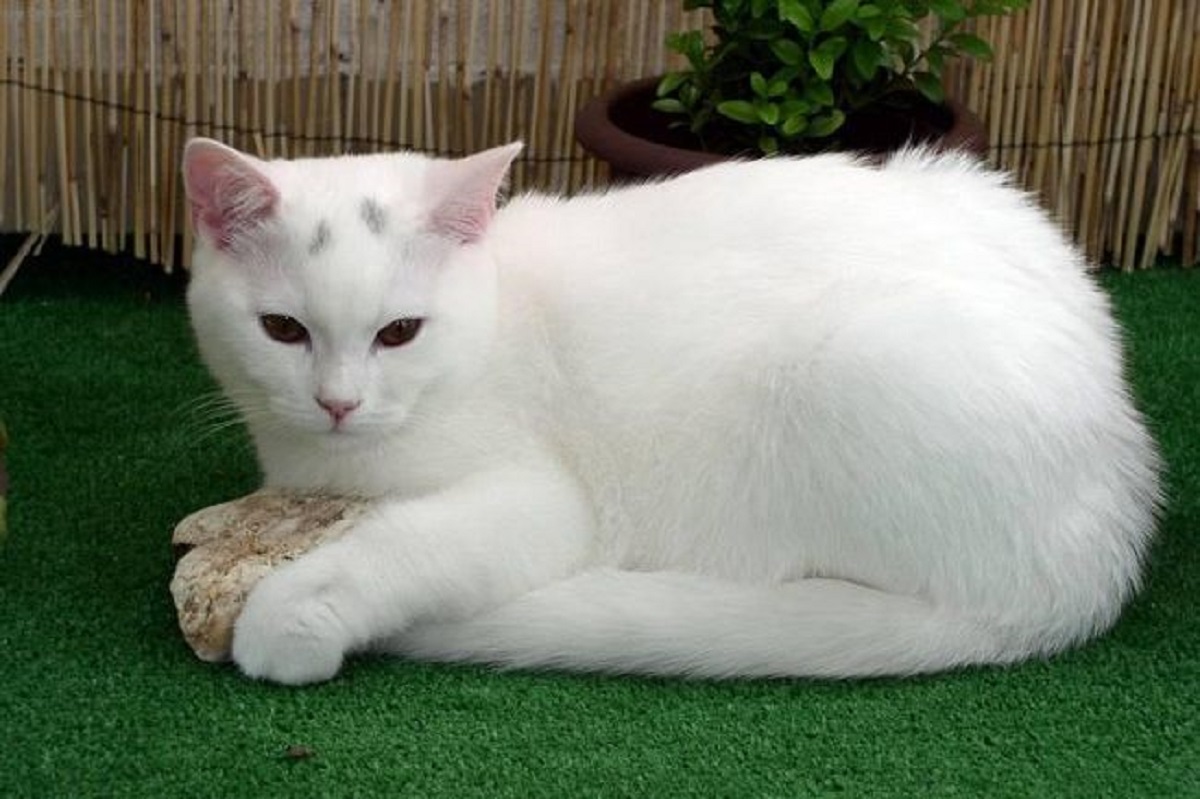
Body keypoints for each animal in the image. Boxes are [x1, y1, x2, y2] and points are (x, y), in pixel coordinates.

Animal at [180, 138, 1161, 686]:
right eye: (281, 329)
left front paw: (290, 615)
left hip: (848, 365)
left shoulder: (539, 503)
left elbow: (397, 546)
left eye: (399, 332)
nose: (338, 402)